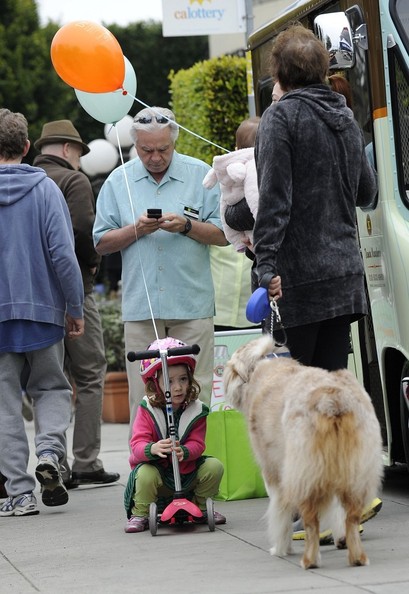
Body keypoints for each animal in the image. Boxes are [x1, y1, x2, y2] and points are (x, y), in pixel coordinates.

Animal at [223, 336, 382, 568]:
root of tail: (331, 399)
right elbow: (335, 510)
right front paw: (339, 537)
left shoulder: (274, 472)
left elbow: (281, 513)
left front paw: (281, 548)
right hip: (356, 470)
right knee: (351, 517)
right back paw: (356, 556)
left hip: (306, 473)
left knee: (311, 521)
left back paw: (310, 560)